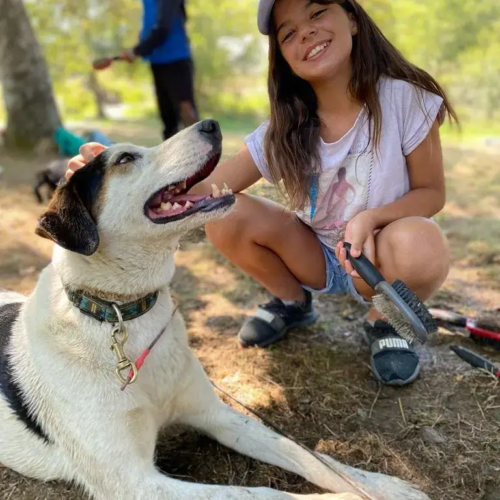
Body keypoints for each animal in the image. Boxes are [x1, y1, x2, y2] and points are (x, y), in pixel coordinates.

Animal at [0, 121, 430, 500]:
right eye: (124, 158)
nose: (211, 124)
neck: (122, 314)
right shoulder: (134, 483)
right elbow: (265, 494)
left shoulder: (217, 414)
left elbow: (311, 457)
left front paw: (381, 485)